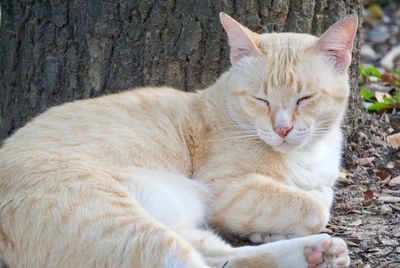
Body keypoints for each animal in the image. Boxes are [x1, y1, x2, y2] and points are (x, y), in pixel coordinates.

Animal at [0, 12, 356, 268]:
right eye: (261, 99)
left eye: (305, 98)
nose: (282, 129)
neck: (310, 153)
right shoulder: (225, 190)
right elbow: (315, 203)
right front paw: (299, 206)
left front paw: (270, 230)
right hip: (126, 228)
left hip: (171, 226)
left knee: (221, 259)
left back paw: (316, 253)